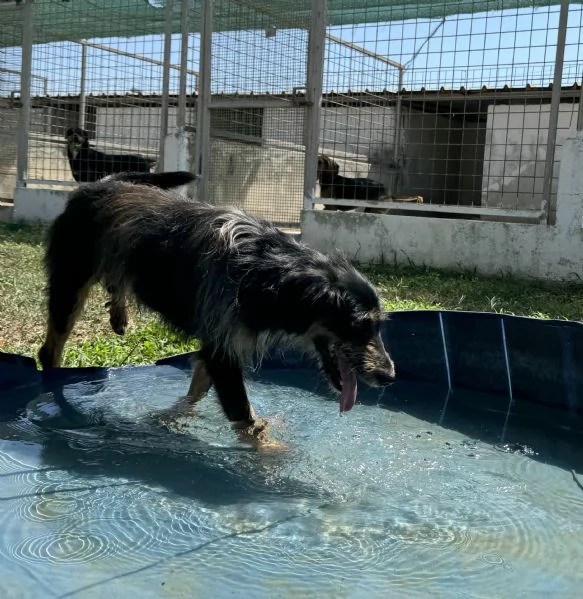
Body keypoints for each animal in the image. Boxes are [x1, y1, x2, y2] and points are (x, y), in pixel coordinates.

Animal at [38, 171, 396, 438]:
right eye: (359, 325)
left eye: (378, 326)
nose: (390, 377)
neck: (270, 273)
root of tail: (98, 184)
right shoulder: (222, 353)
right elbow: (249, 423)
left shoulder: (217, 345)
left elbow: (194, 393)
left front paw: (170, 418)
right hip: (69, 286)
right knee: (49, 350)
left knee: (116, 280)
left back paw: (118, 314)